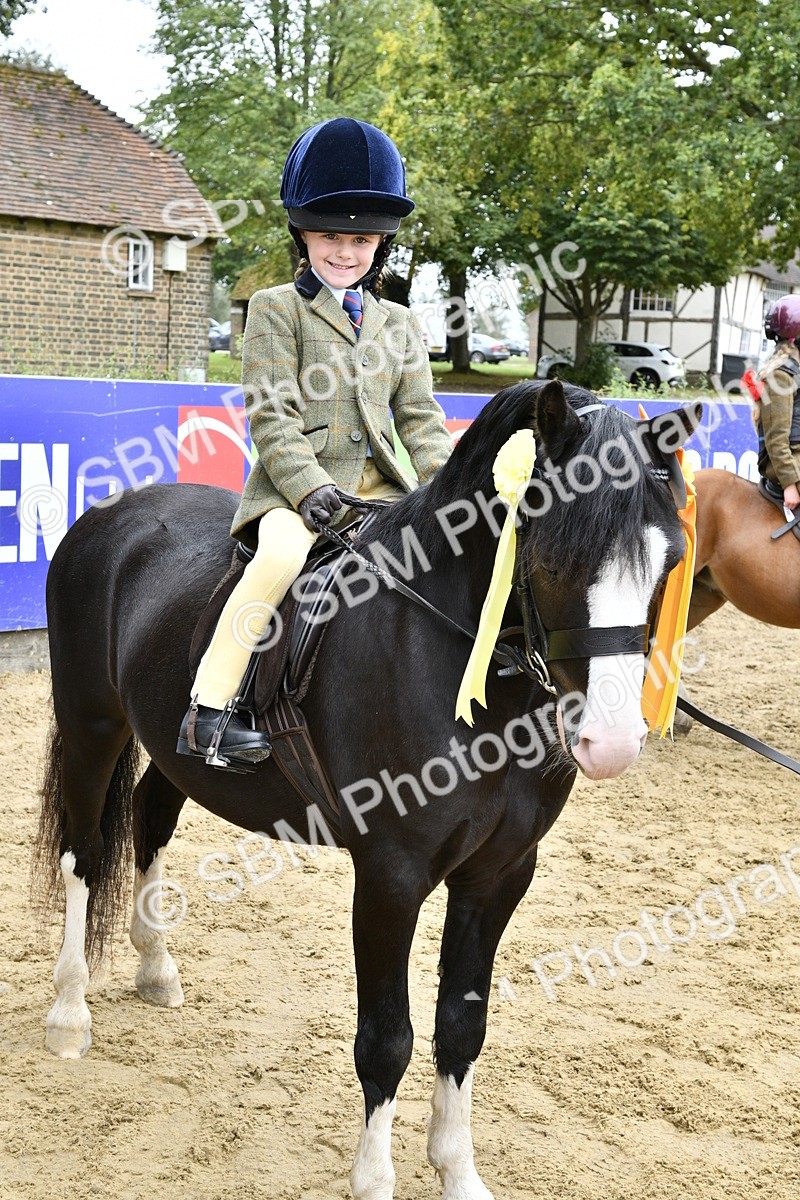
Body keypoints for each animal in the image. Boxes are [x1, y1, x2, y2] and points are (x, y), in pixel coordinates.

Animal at [34, 379, 701, 1200]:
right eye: (550, 558)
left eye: (669, 562)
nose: (611, 743)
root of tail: (110, 513)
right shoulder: (391, 875)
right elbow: (387, 1038)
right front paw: (375, 1178)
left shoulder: (499, 874)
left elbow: (463, 1026)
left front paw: (458, 1171)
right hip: (92, 724)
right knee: (84, 854)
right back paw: (69, 1014)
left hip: (170, 743)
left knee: (150, 818)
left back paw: (156, 969)